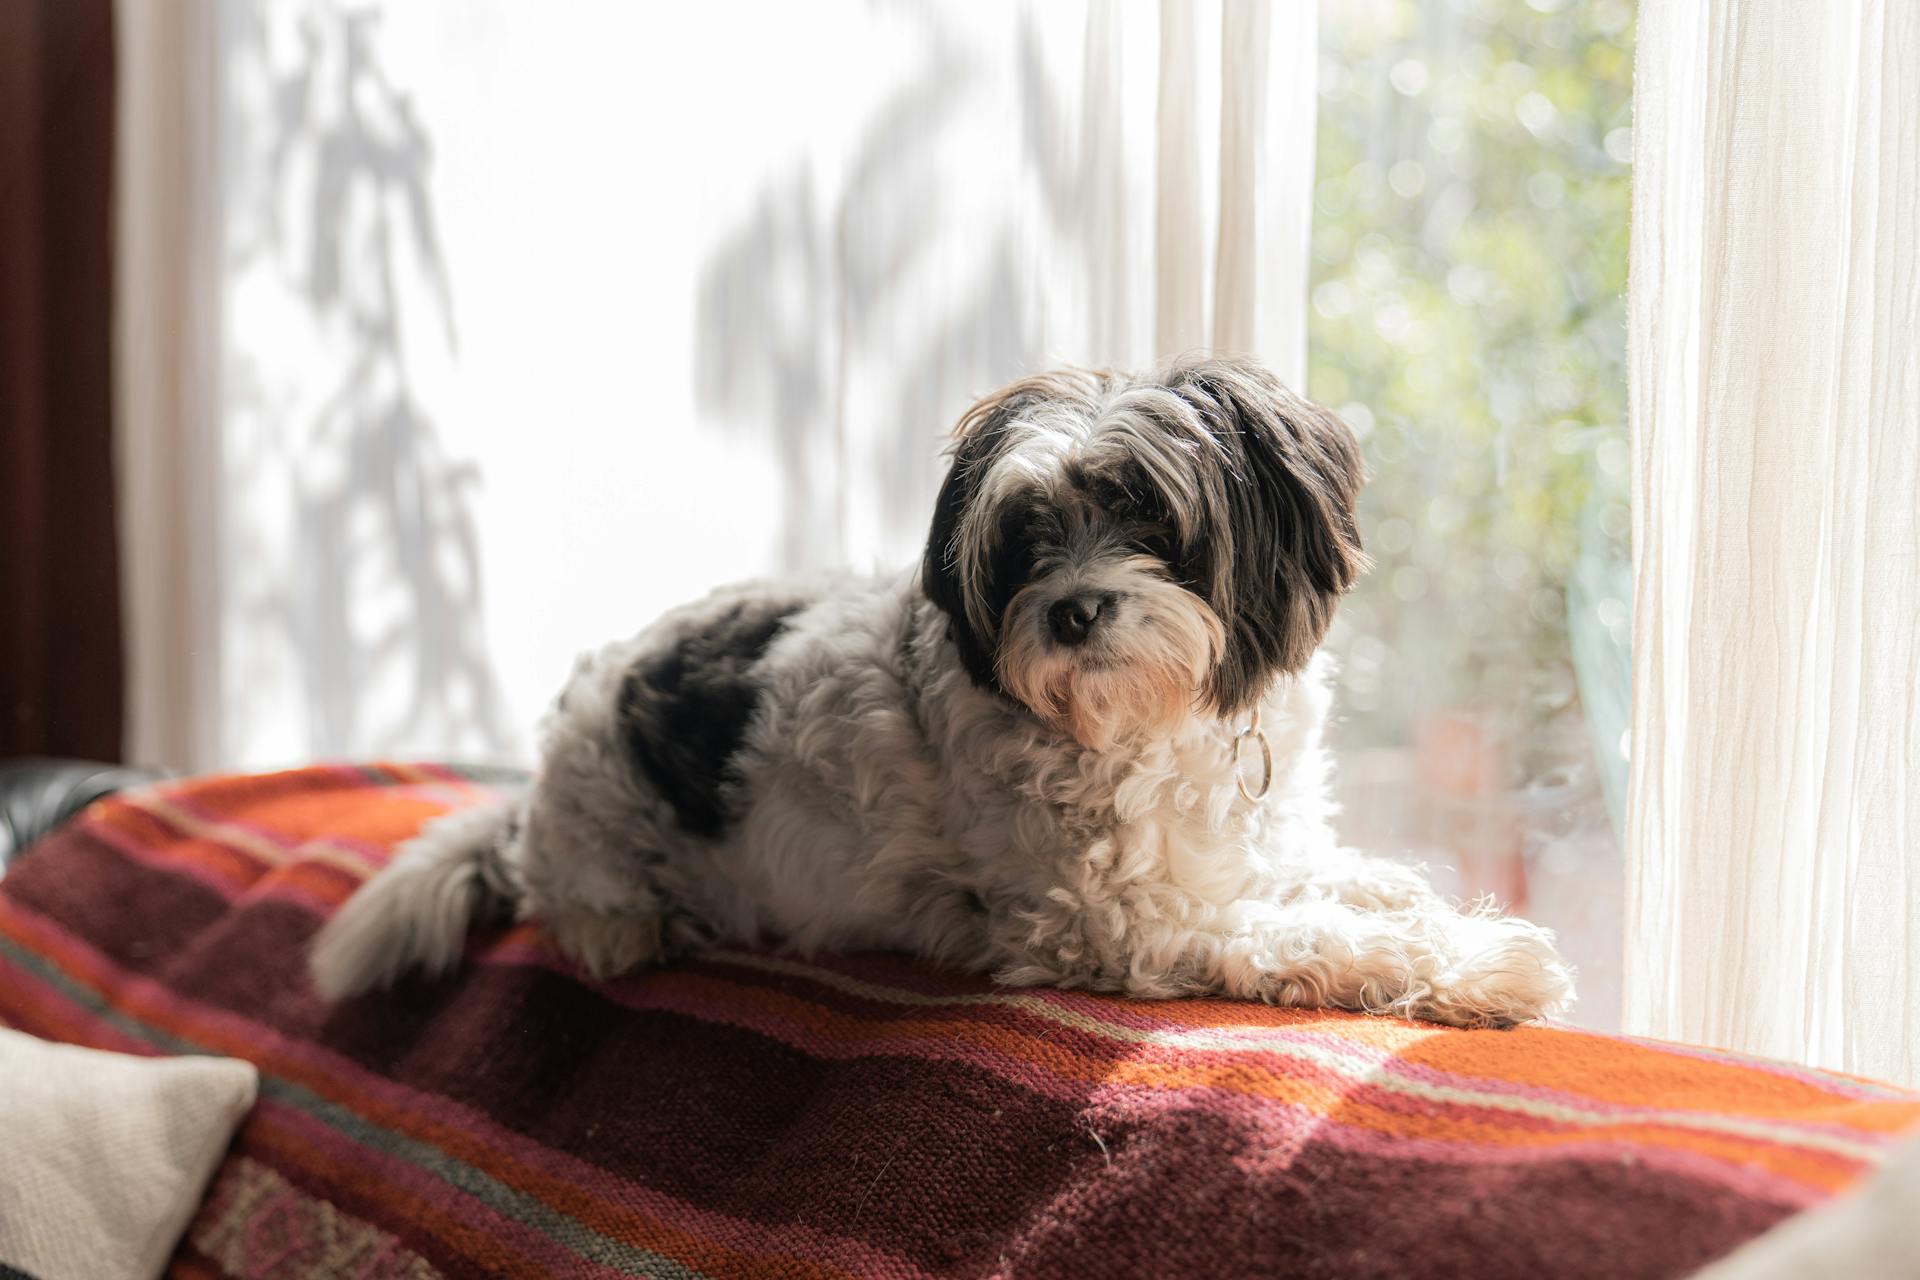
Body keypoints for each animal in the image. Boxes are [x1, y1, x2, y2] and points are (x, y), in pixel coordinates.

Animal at [311, 353, 1574, 1028]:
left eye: (1152, 516)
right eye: (1024, 539)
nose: (1072, 610)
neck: (1153, 725)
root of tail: (536, 786)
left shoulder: (1239, 850)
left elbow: (1335, 879)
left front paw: (1410, 898)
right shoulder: (1117, 923)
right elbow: (1308, 933)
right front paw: (1478, 963)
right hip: (598, 835)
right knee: (573, 900)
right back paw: (628, 926)